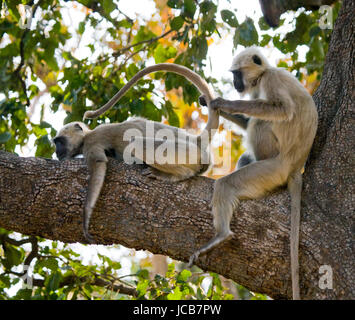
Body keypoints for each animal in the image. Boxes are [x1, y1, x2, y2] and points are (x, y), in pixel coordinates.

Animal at [53, 63, 220, 245]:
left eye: (59, 142)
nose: (56, 152)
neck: (86, 136)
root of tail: (196, 141)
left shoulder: (92, 141)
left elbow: (98, 164)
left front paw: (86, 218)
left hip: (185, 151)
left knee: (138, 144)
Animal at [192, 47, 320, 300]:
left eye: (236, 74)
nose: (235, 83)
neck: (263, 74)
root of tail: (295, 168)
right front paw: (206, 100)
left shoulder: (271, 79)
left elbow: (282, 109)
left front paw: (224, 102)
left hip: (274, 168)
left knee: (260, 123)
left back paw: (221, 235)